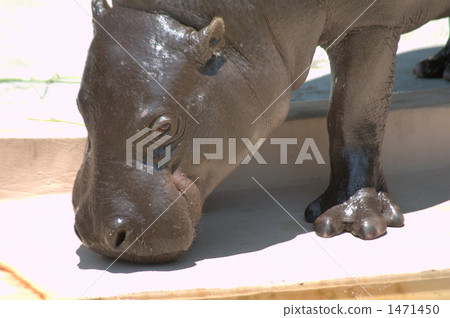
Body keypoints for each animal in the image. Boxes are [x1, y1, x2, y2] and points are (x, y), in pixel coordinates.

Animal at [73, 0, 450, 262]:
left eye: (165, 125)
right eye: (80, 106)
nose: (96, 234)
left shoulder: (371, 24)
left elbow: (352, 118)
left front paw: (348, 222)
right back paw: (434, 67)